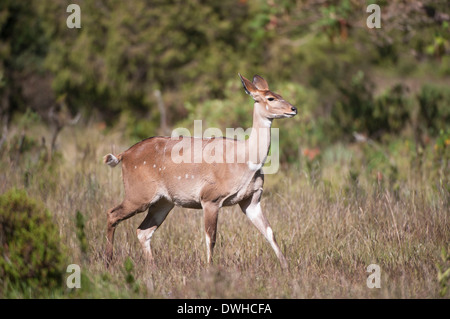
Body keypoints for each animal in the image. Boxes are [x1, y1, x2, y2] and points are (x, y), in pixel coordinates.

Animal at [103, 74, 298, 270]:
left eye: (279, 94)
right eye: (270, 98)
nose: (293, 108)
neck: (246, 161)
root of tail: (124, 155)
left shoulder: (251, 199)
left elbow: (270, 232)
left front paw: (286, 267)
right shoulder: (210, 197)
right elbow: (211, 238)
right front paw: (210, 268)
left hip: (163, 201)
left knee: (143, 231)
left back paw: (152, 267)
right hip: (139, 193)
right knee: (112, 214)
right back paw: (108, 261)